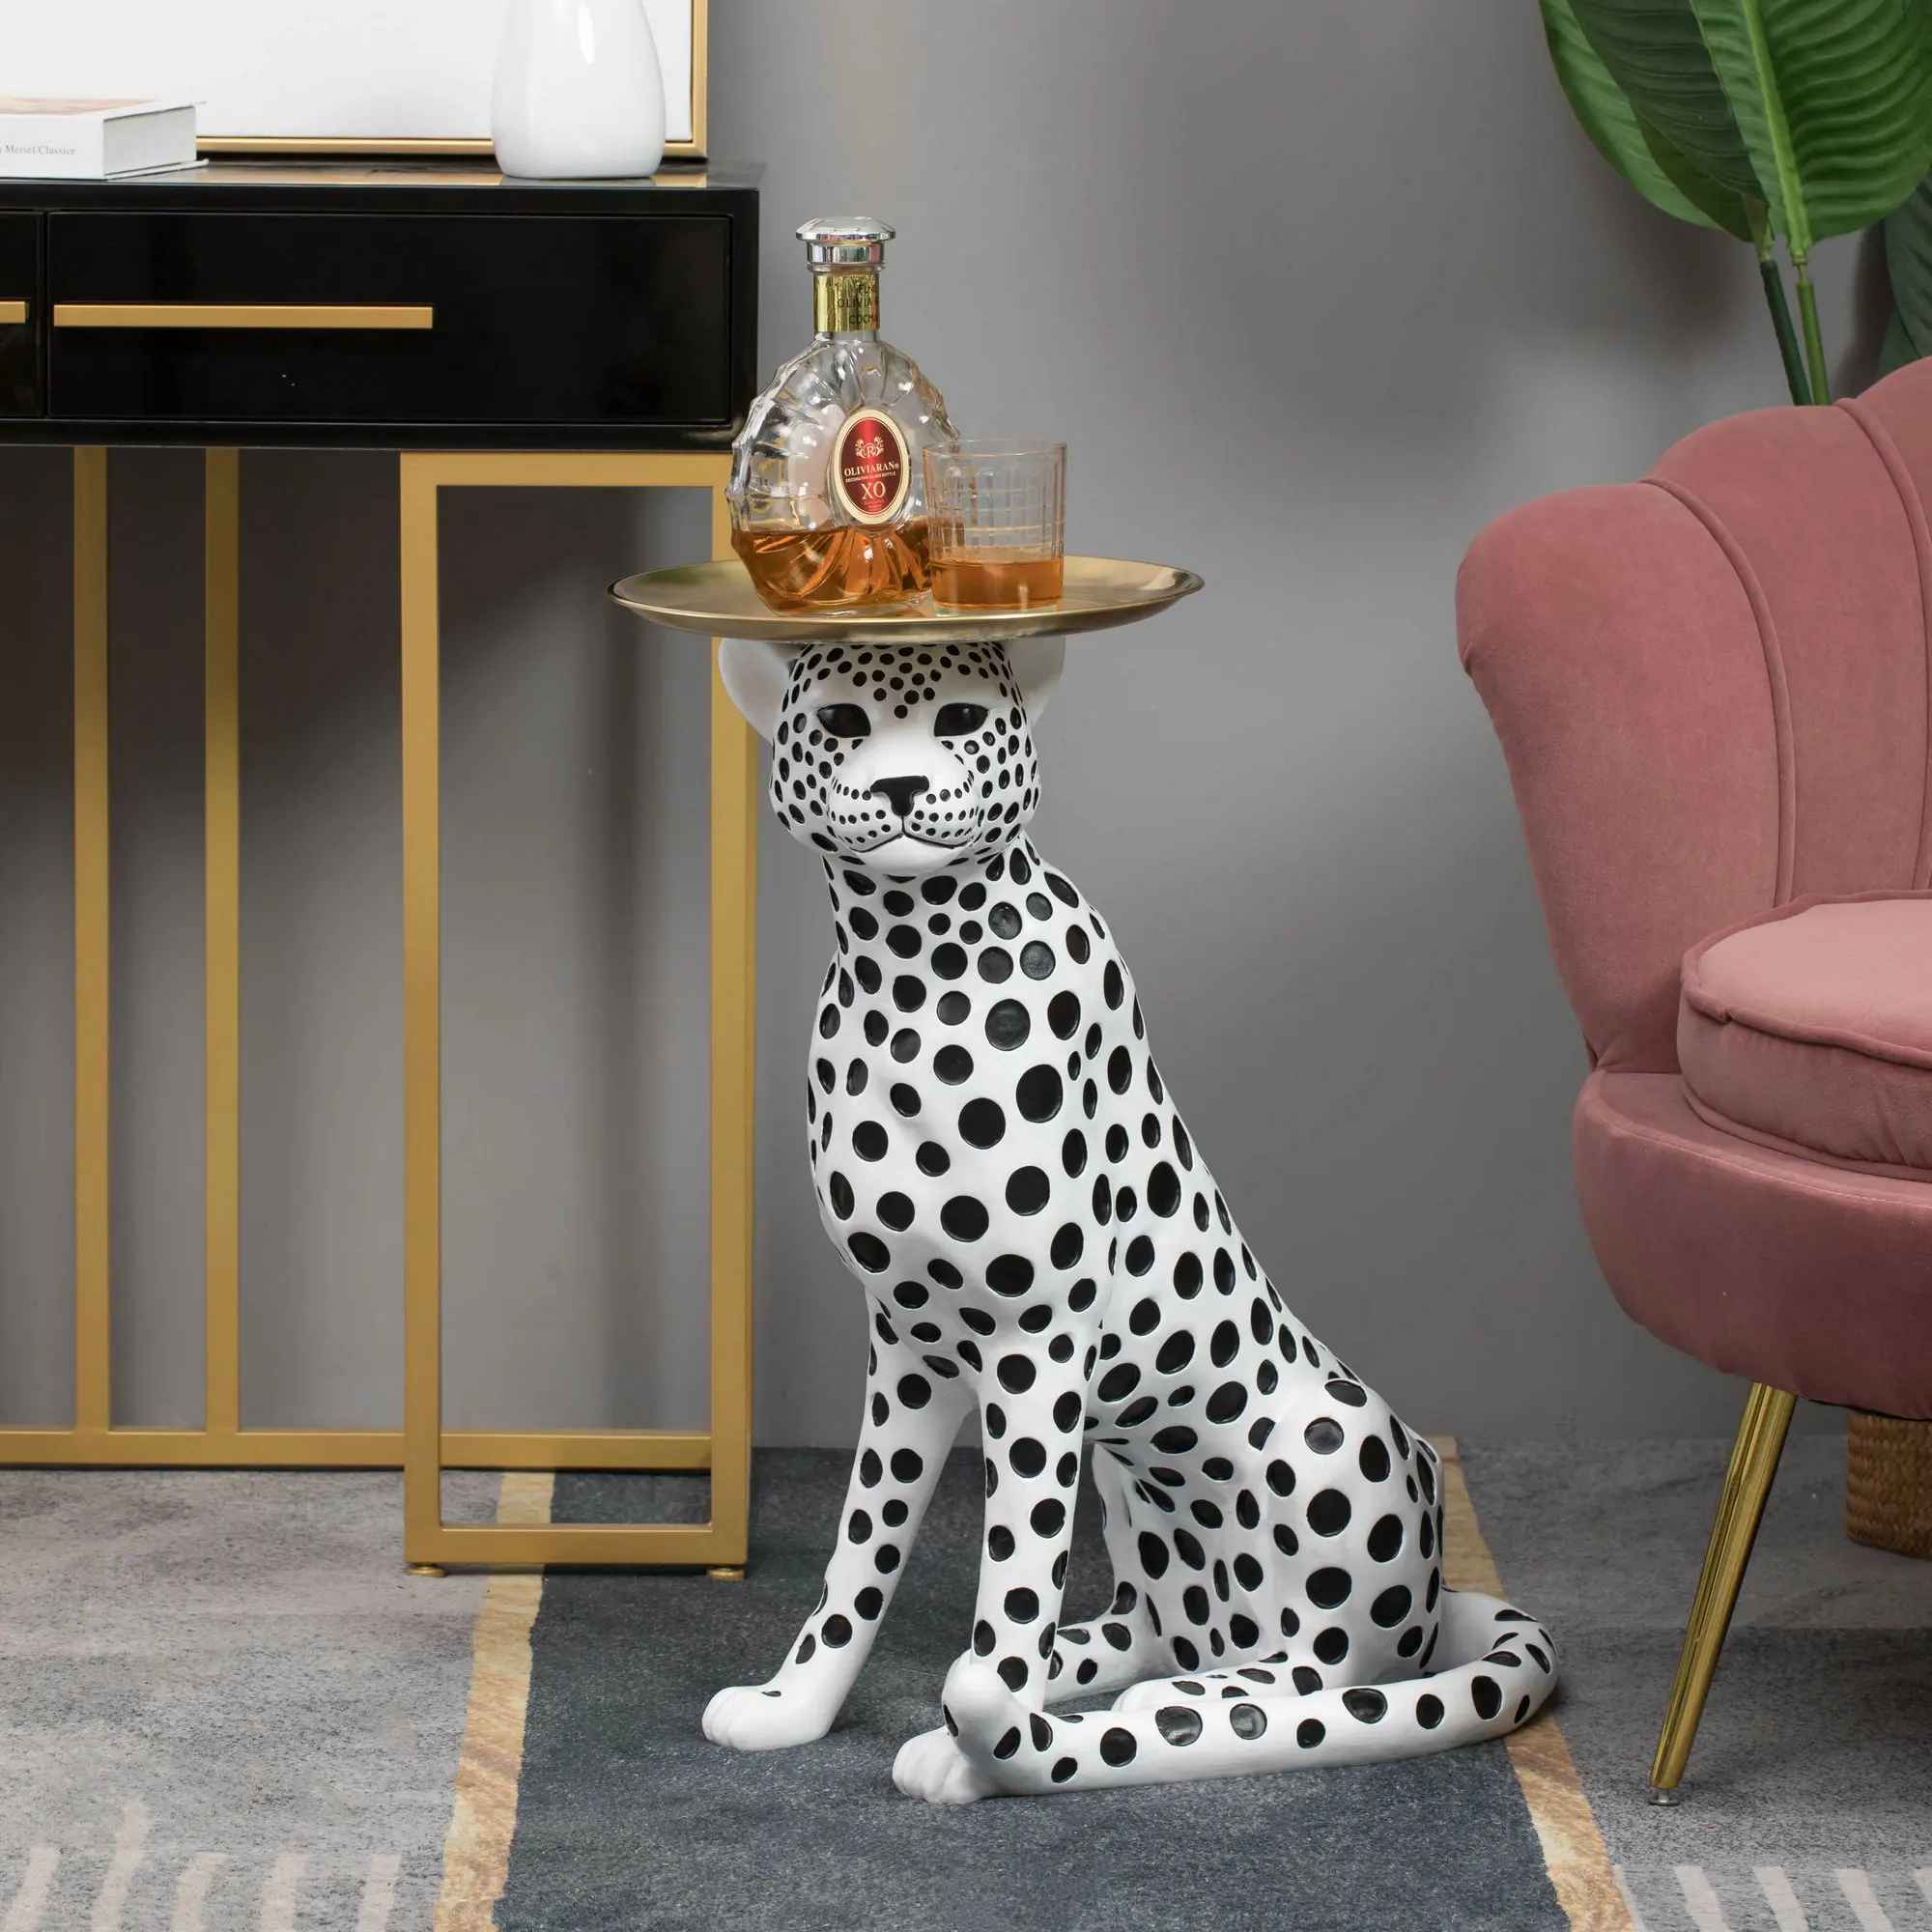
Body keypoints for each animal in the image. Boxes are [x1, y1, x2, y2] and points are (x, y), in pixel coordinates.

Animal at [702, 631, 1557, 1802]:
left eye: (960, 714)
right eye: (839, 720)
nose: (901, 787)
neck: (907, 967)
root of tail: (1435, 1598)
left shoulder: (1035, 1349)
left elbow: (1011, 1583)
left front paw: (984, 1749)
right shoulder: (909, 1349)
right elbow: (858, 1555)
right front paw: (792, 1706)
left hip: (1342, 1440)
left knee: (1326, 1673)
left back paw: (1175, 1709)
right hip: (1128, 1492)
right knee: (1151, 1629)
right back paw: (1101, 1676)